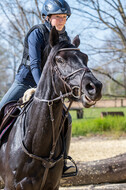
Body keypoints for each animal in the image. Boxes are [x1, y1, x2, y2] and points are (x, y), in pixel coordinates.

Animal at [0, 27, 102, 190]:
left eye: (85, 58)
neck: (35, 142)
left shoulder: (53, 186)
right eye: (60, 60)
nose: (95, 87)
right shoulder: (11, 186)